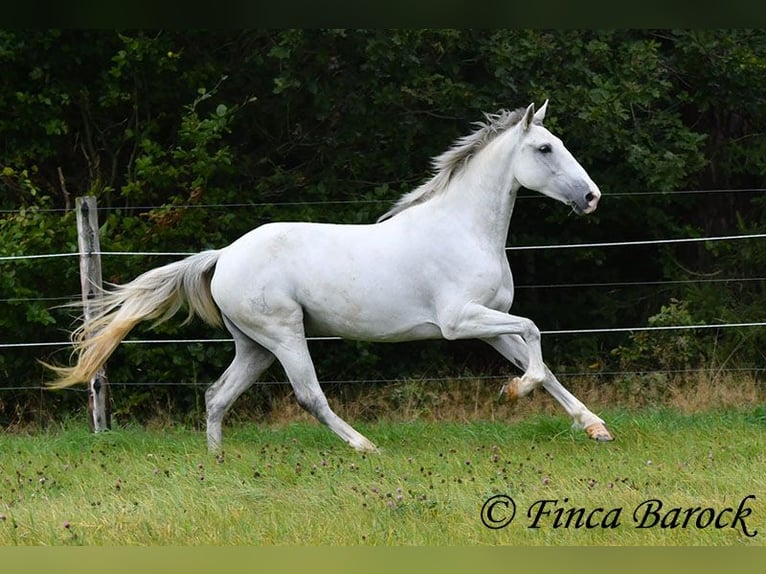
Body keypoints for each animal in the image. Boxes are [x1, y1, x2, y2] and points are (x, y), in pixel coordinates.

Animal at [48, 103, 616, 454]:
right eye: (544, 149)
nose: (592, 198)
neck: (464, 229)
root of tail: (225, 255)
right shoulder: (461, 321)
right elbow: (535, 335)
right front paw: (514, 391)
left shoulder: (490, 323)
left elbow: (541, 359)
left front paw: (595, 426)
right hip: (284, 334)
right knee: (309, 396)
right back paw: (366, 446)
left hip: (254, 345)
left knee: (216, 396)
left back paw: (217, 462)